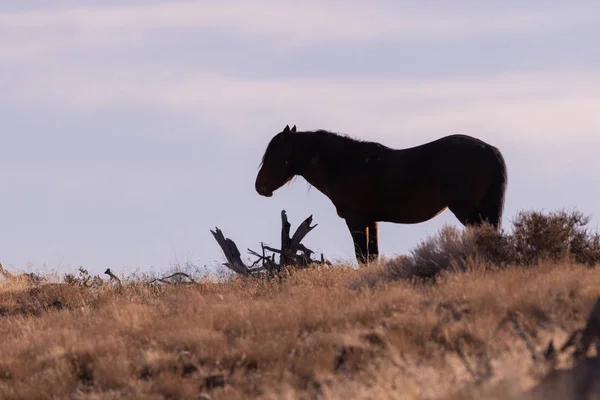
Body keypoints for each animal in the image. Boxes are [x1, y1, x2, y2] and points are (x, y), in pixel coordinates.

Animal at [253, 123, 506, 264]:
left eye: (275, 155)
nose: (259, 187)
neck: (346, 165)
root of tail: (490, 150)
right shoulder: (371, 221)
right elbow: (372, 256)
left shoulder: (356, 221)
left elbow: (362, 257)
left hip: (465, 210)